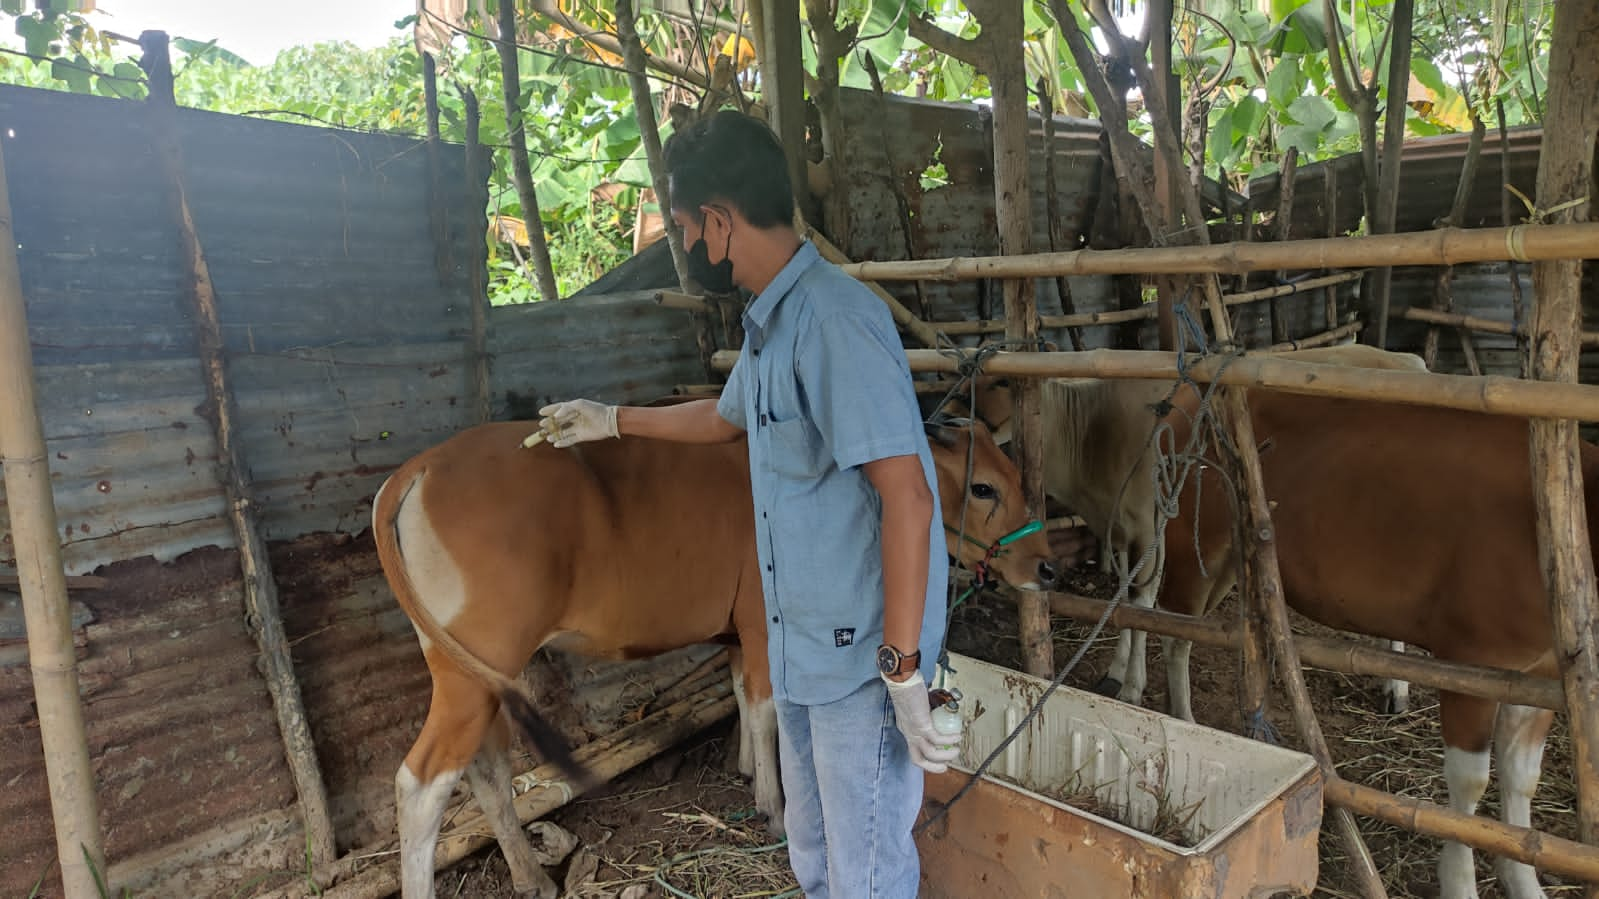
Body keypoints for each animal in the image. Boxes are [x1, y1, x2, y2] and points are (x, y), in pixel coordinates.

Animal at [367, 412, 1055, 895]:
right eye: (983, 487)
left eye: (1020, 478)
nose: (1047, 566)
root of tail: (414, 472)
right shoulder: (764, 627)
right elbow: (767, 709)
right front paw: (774, 807)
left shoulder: (736, 634)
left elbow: (742, 700)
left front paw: (746, 768)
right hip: (476, 667)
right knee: (420, 784)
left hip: (466, 671)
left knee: (482, 770)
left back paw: (532, 877)